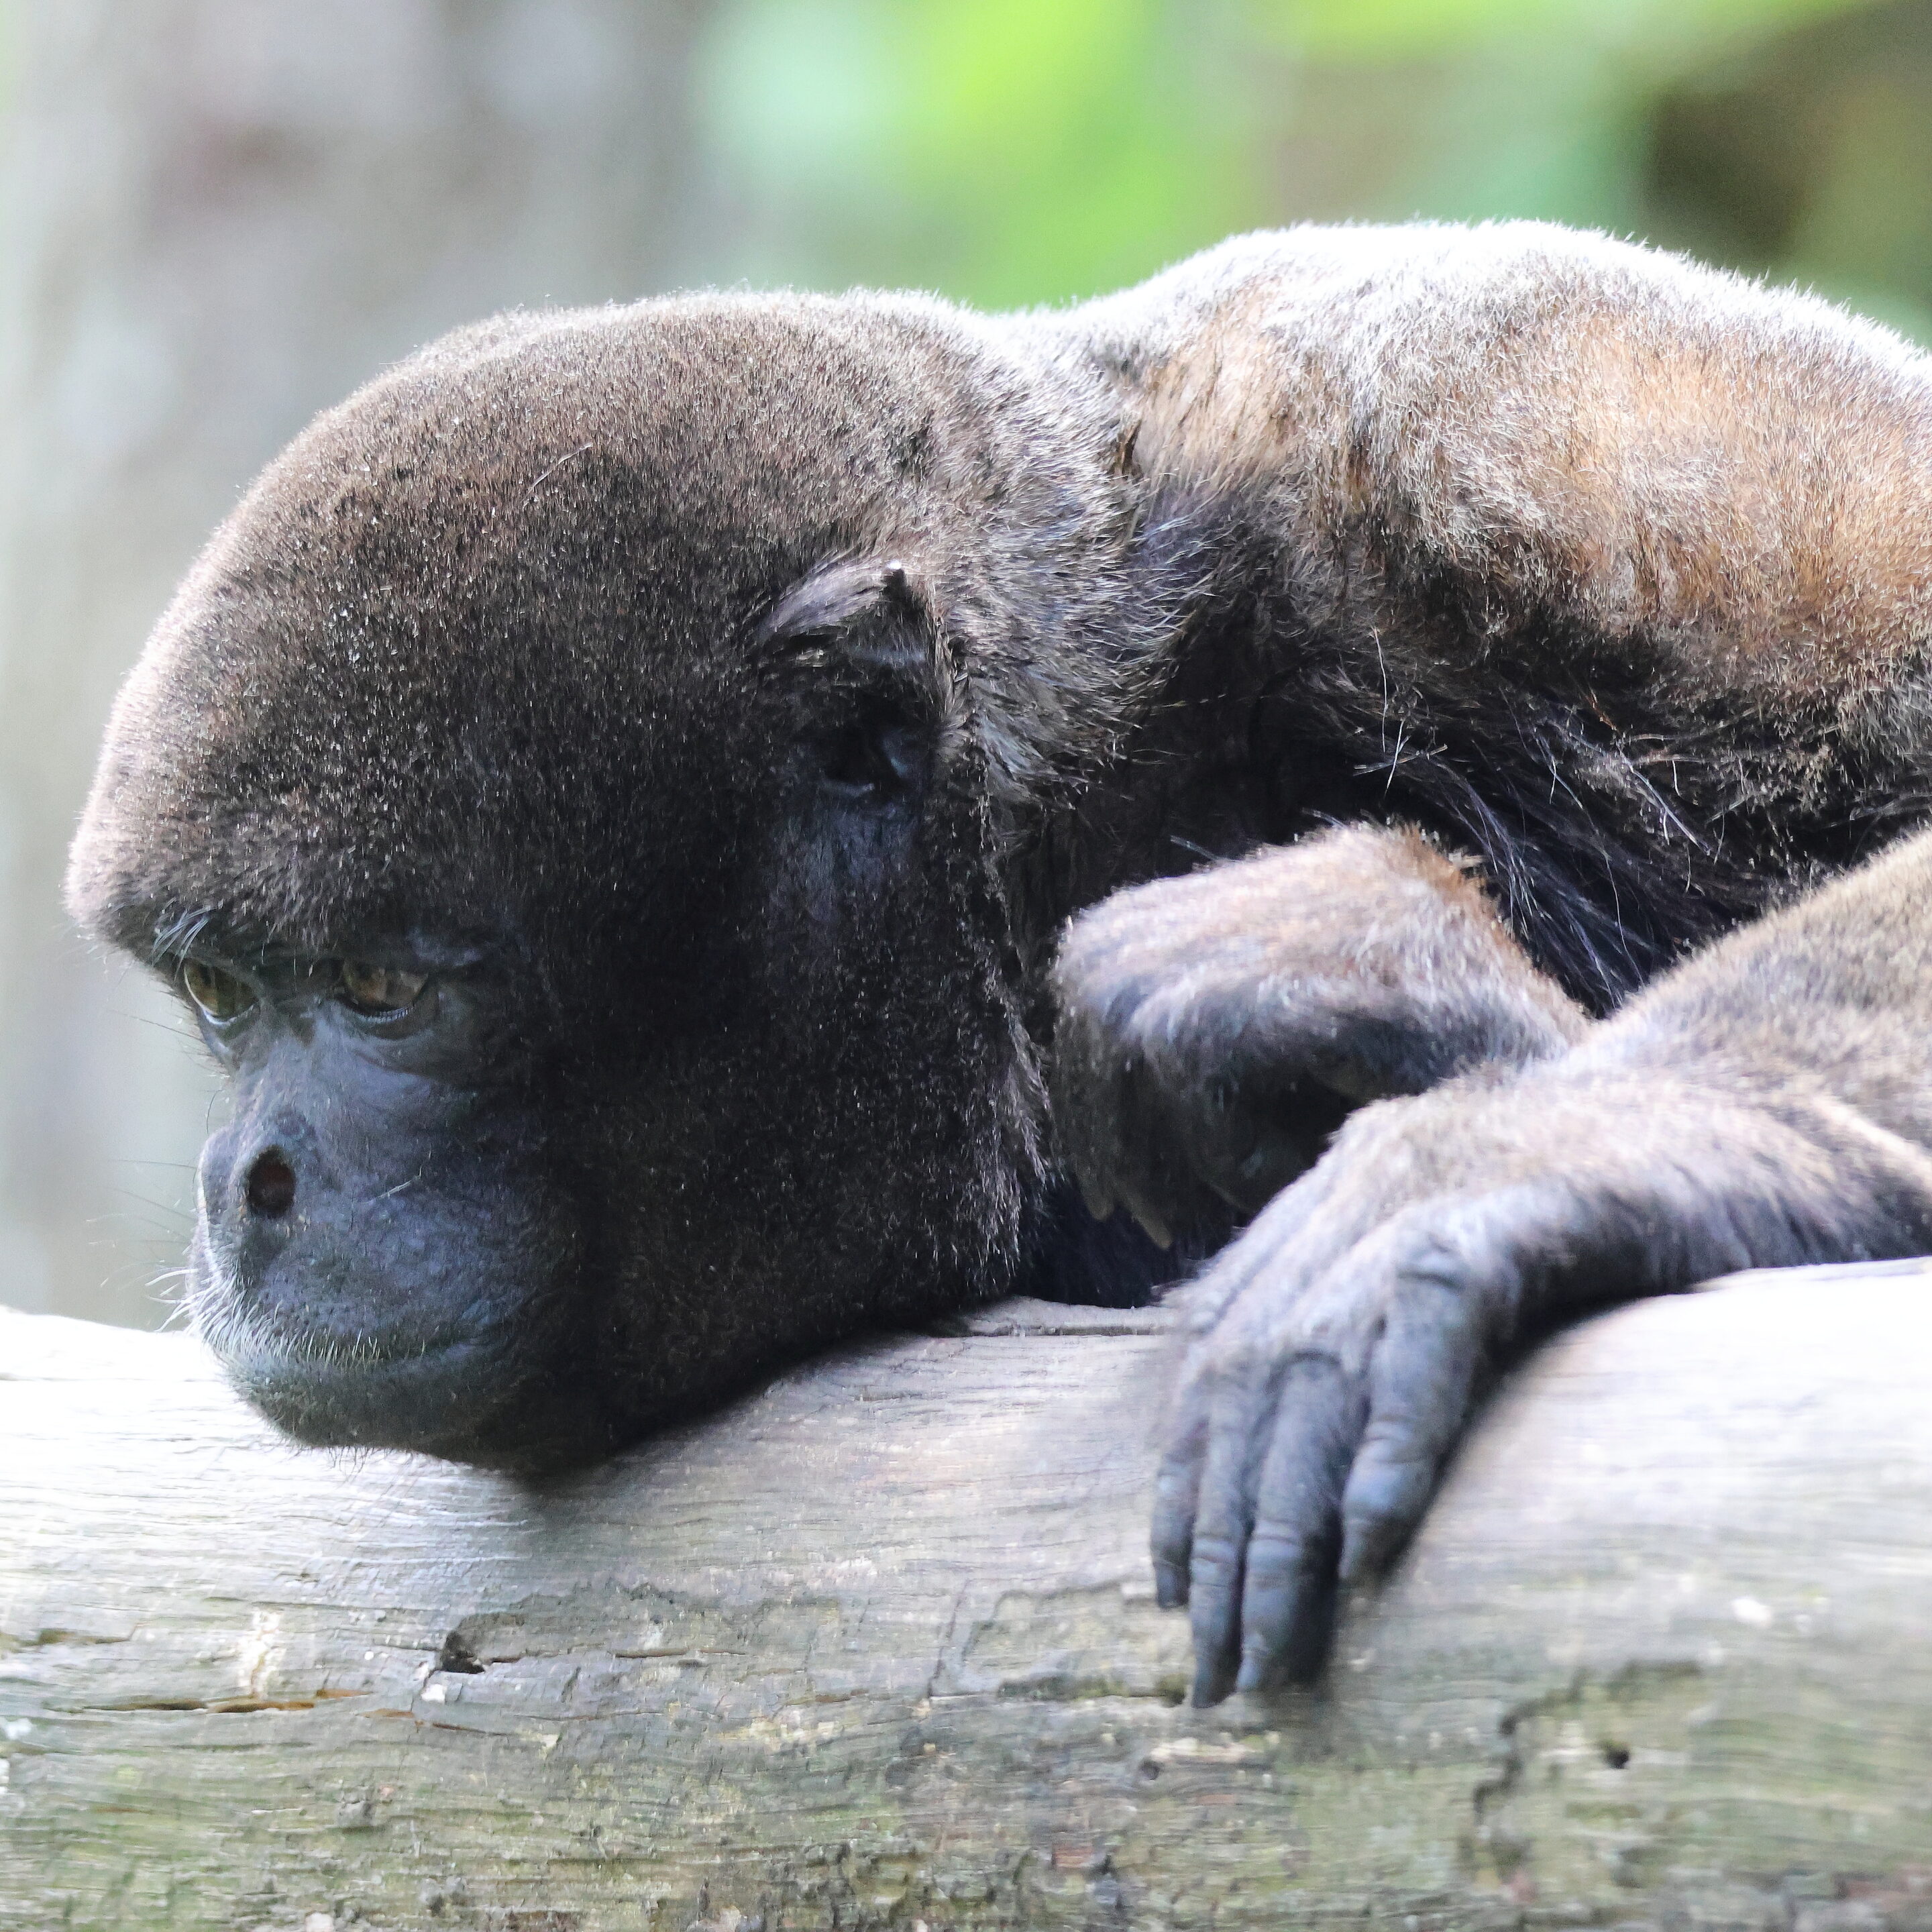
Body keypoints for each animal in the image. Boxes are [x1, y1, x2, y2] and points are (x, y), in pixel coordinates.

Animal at [66, 222, 1932, 1707]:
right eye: (222, 996)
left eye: (385, 991)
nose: (251, 1185)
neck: (1071, 789)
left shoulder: (1585, 457)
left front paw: (1558, 1134)